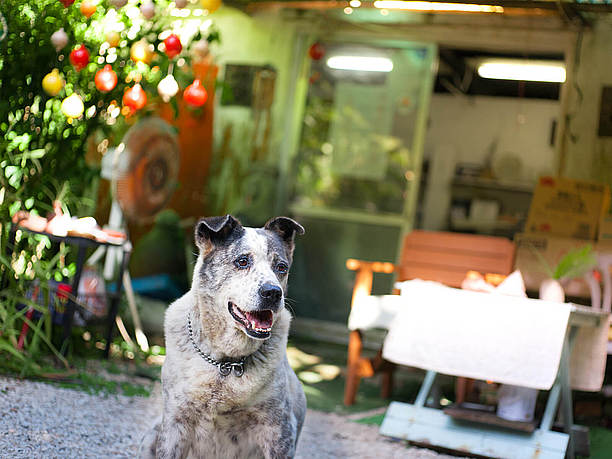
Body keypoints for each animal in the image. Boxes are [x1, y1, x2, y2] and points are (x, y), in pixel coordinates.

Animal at [141, 216, 308, 459]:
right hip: (151, 435)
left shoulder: (279, 429)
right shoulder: (174, 423)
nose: (273, 292)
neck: (227, 362)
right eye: (242, 261)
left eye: (281, 267)